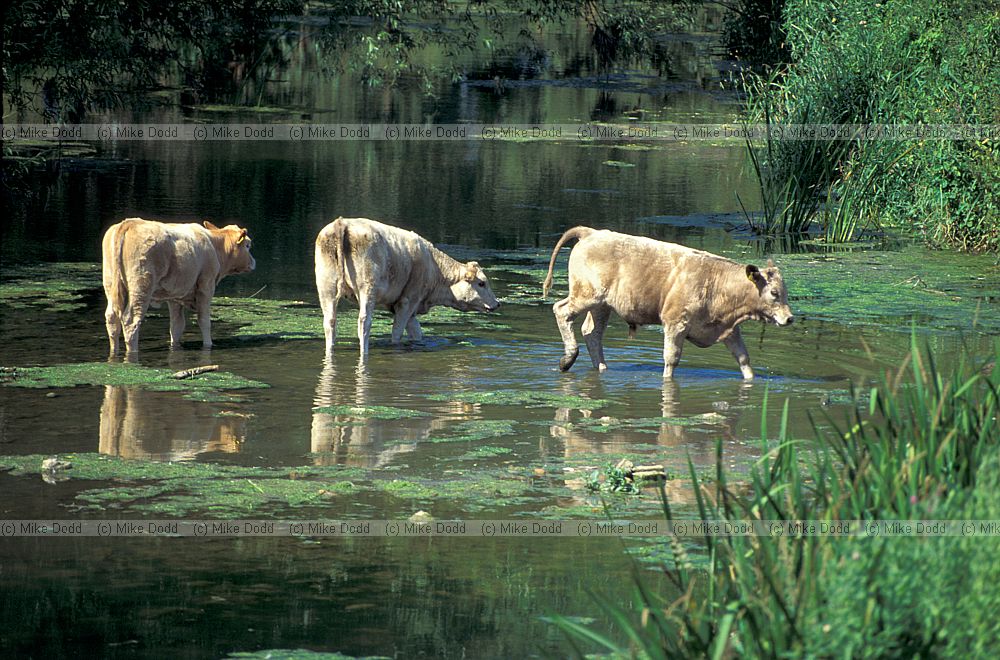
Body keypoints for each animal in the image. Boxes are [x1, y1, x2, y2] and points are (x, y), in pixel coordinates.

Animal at [102, 218, 256, 355]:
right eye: (248, 245)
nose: (253, 262)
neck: (215, 246)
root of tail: (128, 223)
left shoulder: (175, 295)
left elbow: (176, 326)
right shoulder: (206, 285)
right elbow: (204, 321)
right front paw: (208, 345)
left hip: (110, 282)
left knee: (112, 318)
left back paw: (114, 350)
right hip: (141, 286)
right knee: (131, 321)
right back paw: (132, 351)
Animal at [314, 217, 500, 356]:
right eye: (481, 283)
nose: (497, 303)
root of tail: (343, 222)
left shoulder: (410, 308)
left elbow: (416, 333)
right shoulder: (408, 301)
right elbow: (397, 331)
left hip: (326, 287)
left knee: (329, 322)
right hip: (367, 288)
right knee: (364, 322)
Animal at [542, 226, 794, 379]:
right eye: (773, 292)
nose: (789, 318)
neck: (716, 282)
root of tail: (590, 232)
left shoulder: (729, 330)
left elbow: (743, 359)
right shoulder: (675, 323)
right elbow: (671, 359)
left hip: (602, 306)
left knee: (592, 332)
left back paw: (602, 368)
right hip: (586, 296)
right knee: (561, 311)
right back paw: (567, 359)